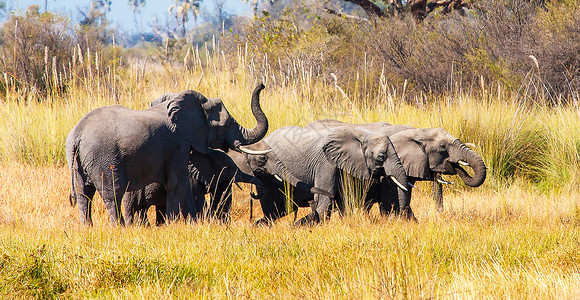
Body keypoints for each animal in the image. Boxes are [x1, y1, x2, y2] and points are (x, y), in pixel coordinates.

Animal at [247, 125, 410, 225]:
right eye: (381, 157)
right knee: (272, 207)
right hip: (265, 173)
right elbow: (326, 199)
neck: (361, 133)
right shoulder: (325, 163)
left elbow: (346, 199)